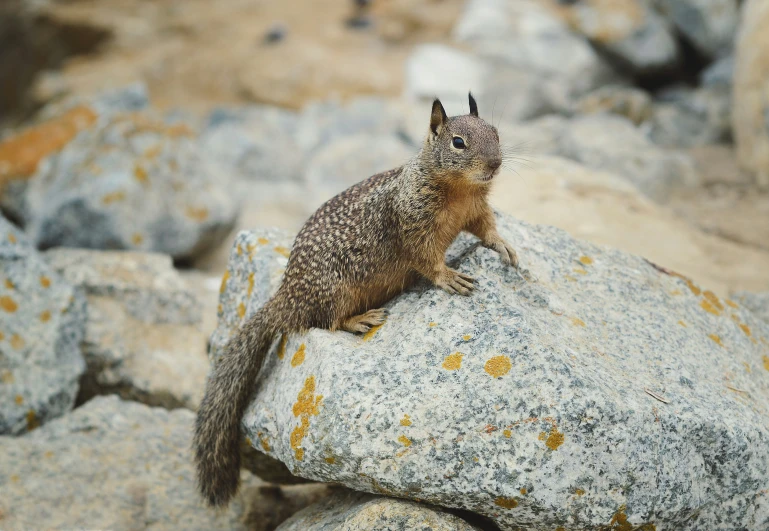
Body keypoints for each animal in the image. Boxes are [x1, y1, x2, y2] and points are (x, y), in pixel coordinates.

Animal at [194, 93, 516, 510]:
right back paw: (360, 320)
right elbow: (427, 261)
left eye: (496, 132)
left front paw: (503, 245)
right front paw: (450, 277)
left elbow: (488, 228)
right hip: (335, 291)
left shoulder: (476, 210)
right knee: (324, 322)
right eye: (458, 142)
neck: (457, 189)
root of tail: (286, 297)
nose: (495, 164)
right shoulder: (415, 230)